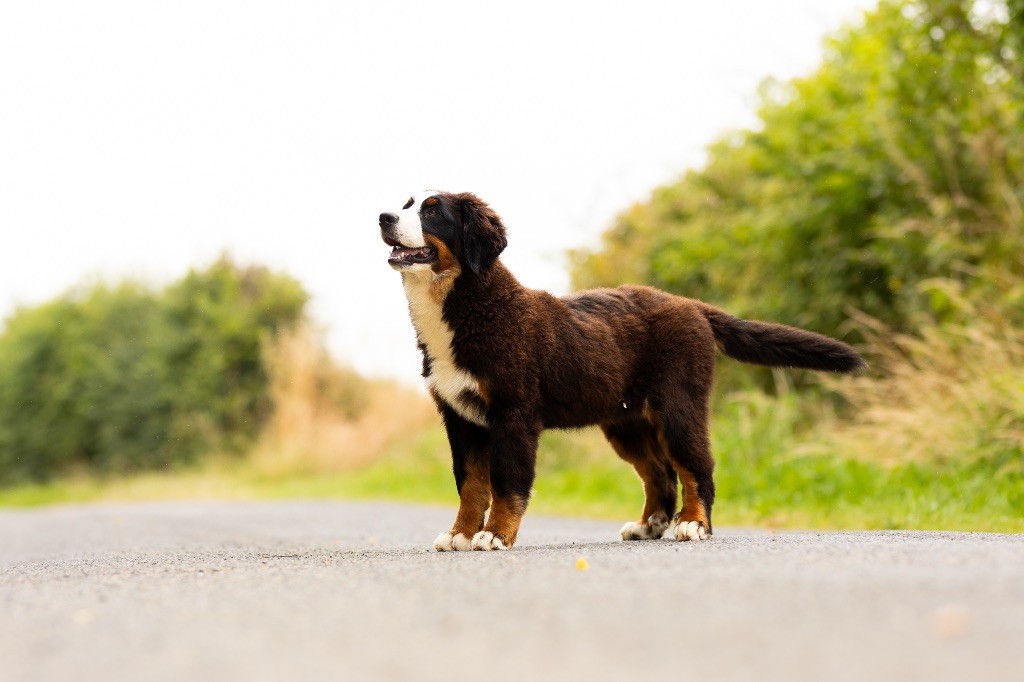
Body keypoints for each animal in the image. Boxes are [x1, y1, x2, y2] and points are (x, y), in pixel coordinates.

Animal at [380, 189, 868, 548]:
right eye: (406, 204)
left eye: (432, 211)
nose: (383, 216)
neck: (469, 308)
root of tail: (692, 305)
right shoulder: (460, 417)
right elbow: (469, 483)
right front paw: (460, 534)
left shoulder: (512, 413)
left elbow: (506, 481)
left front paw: (495, 535)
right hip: (626, 421)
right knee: (660, 475)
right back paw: (649, 525)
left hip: (679, 405)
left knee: (696, 468)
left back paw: (694, 525)